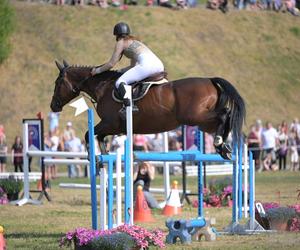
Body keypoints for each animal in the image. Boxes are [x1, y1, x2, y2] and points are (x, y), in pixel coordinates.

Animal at [50, 59, 245, 159]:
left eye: (58, 83)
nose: (53, 105)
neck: (103, 87)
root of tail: (210, 80)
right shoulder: (115, 127)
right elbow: (99, 137)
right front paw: (104, 154)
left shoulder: (110, 123)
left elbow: (89, 135)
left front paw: (96, 157)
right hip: (203, 123)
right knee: (223, 120)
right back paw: (223, 148)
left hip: (195, 117)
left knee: (225, 115)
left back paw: (219, 142)